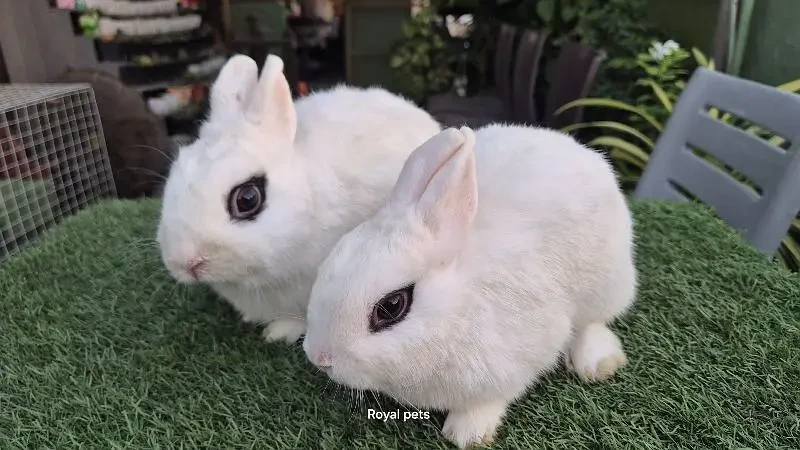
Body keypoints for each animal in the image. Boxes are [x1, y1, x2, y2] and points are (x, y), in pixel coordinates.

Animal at [304, 125, 636, 448]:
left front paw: (467, 434)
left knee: (592, 323)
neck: (458, 308)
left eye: (392, 306)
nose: (319, 358)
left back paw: (598, 363)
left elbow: (492, 399)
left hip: (605, 284)